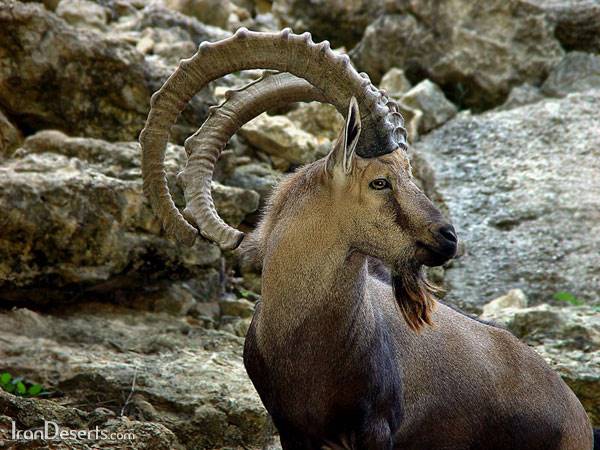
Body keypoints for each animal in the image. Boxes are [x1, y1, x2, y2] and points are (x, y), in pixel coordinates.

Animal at [141, 28, 596, 450]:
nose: (448, 238)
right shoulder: (293, 432)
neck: (304, 339)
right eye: (380, 181)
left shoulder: (375, 429)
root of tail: (576, 412)